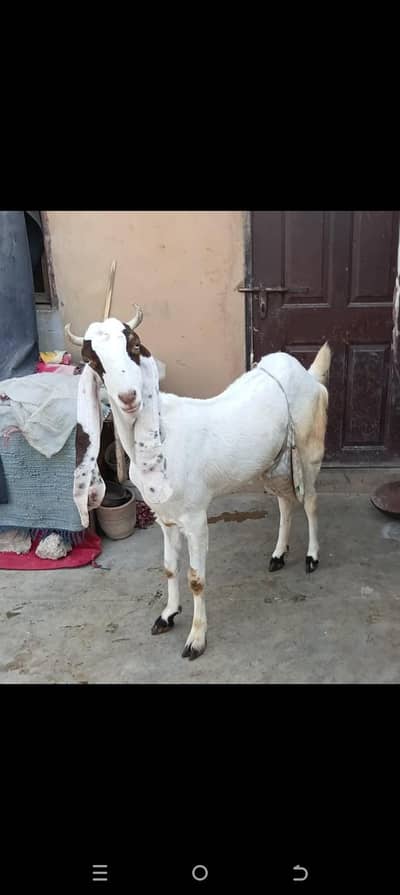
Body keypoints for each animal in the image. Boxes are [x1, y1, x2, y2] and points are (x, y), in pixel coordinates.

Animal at [66, 307, 331, 660]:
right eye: (94, 362)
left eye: (134, 346)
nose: (128, 397)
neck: (164, 432)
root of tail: (305, 372)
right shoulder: (165, 516)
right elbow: (168, 566)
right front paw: (167, 615)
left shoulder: (194, 516)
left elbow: (196, 579)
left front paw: (196, 639)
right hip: (271, 461)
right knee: (286, 501)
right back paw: (278, 555)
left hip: (307, 444)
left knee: (311, 500)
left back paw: (312, 557)